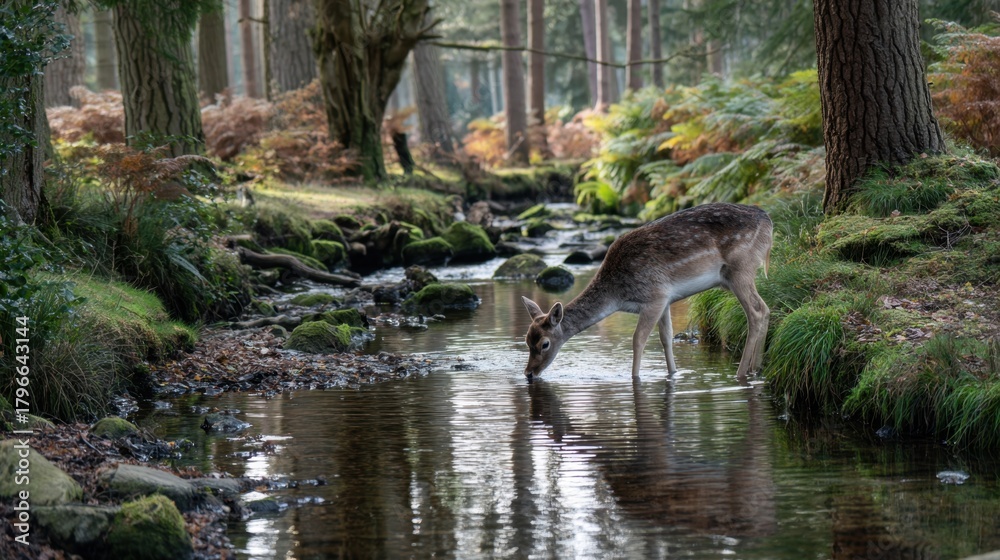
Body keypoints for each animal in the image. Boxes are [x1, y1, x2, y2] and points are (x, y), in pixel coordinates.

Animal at [522, 202, 772, 382]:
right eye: (526, 340)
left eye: (544, 344)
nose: (528, 373)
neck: (617, 295)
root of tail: (769, 222)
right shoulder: (666, 299)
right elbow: (666, 338)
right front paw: (673, 373)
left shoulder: (654, 296)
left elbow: (638, 339)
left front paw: (634, 377)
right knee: (766, 309)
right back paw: (757, 367)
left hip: (740, 269)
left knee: (757, 311)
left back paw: (741, 373)